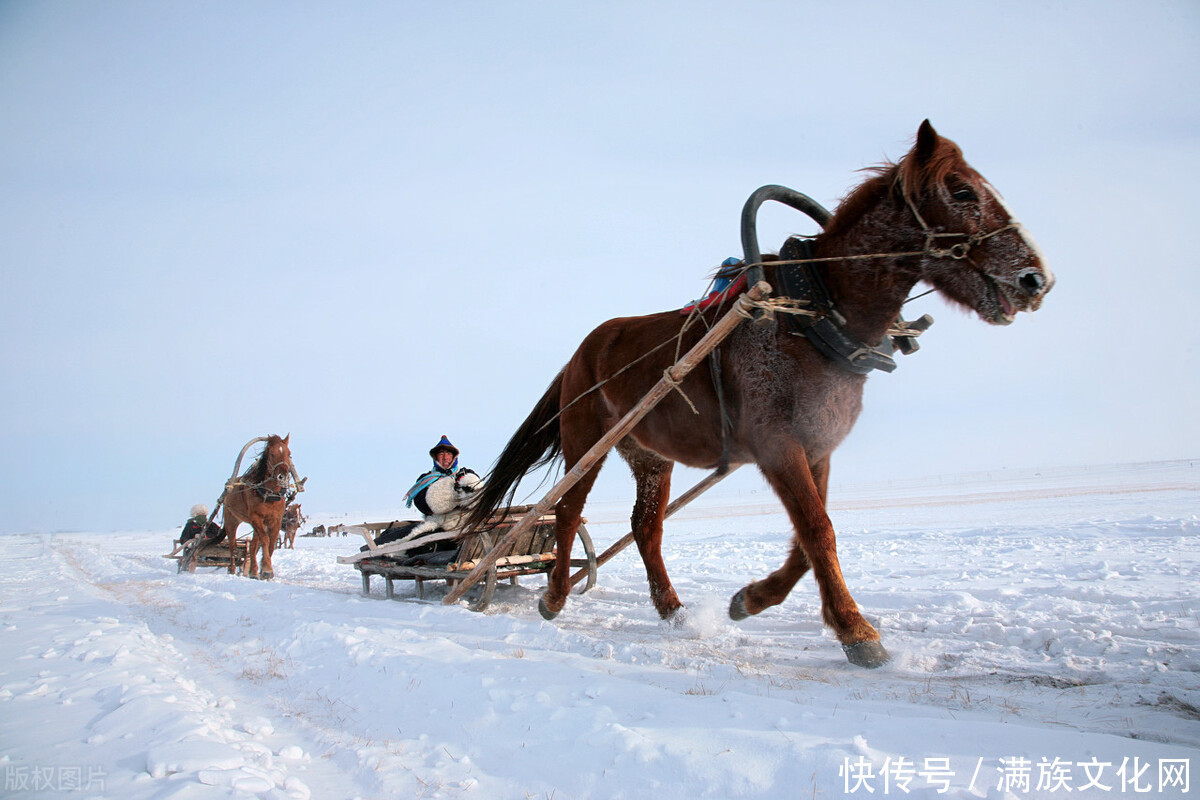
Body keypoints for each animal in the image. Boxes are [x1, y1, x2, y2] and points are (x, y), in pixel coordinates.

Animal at [225, 434, 300, 578]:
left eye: (289, 454)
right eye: (272, 454)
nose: (283, 476)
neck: (269, 494)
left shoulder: (276, 519)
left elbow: (271, 542)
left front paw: (263, 569)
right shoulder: (256, 517)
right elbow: (265, 540)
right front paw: (266, 569)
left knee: (253, 545)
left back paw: (253, 571)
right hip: (231, 519)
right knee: (232, 546)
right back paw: (231, 570)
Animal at [463, 120, 1056, 671]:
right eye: (962, 191)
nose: (1036, 280)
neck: (814, 319)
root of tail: (579, 354)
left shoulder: (816, 448)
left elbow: (809, 539)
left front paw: (751, 600)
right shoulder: (778, 447)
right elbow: (819, 529)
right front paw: (857, 632)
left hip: (649, 456)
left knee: (645, 527)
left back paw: (673, 609)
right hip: (588, 441)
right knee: (567, 513)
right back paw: (555, 597)